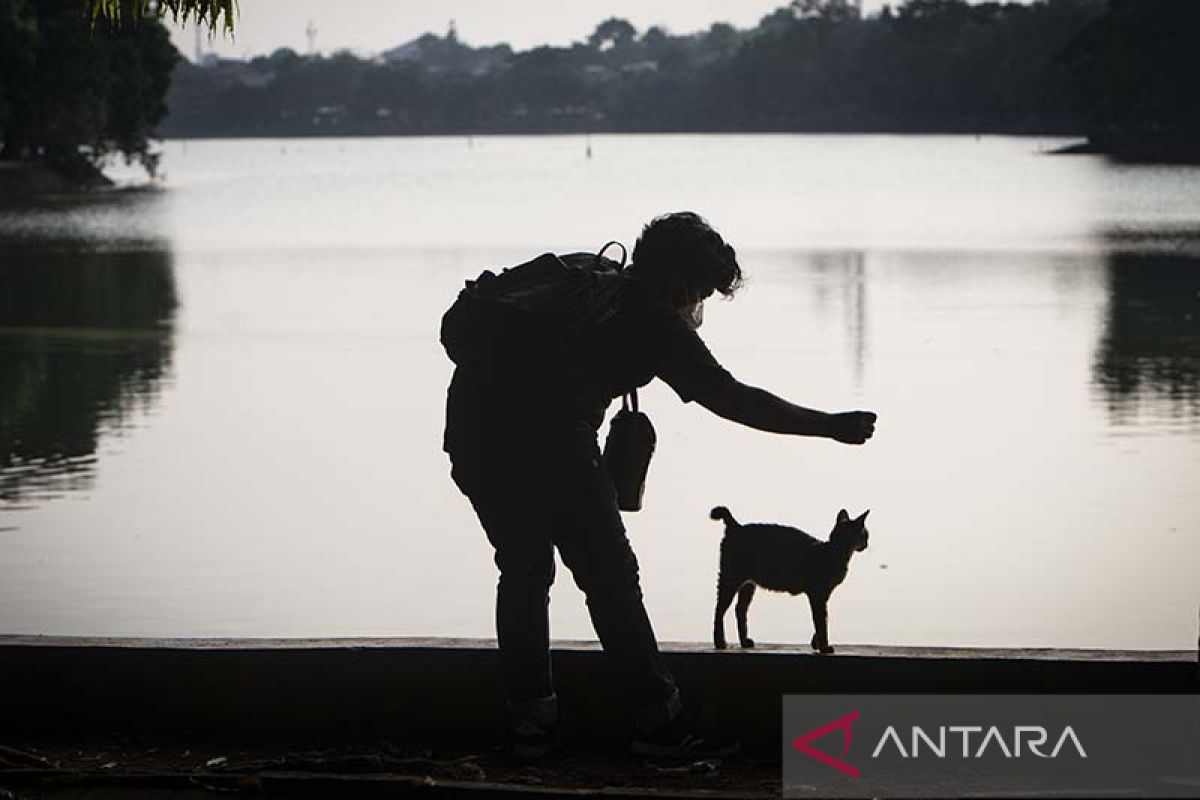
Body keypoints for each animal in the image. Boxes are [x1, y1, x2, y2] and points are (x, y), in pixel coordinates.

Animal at [705, 510, 868, 652]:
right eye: (865, 535)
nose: (867, 544)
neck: (834, 551)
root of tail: (736, 526)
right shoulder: (817, 594)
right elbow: (821, 622)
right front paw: (824, 647)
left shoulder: (823, 596)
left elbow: (823, 619)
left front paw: (816, 643)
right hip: (730, 578)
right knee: (719, 610)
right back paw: (720, 642)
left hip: (748, 584)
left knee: (740, 609)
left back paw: (744, 641)